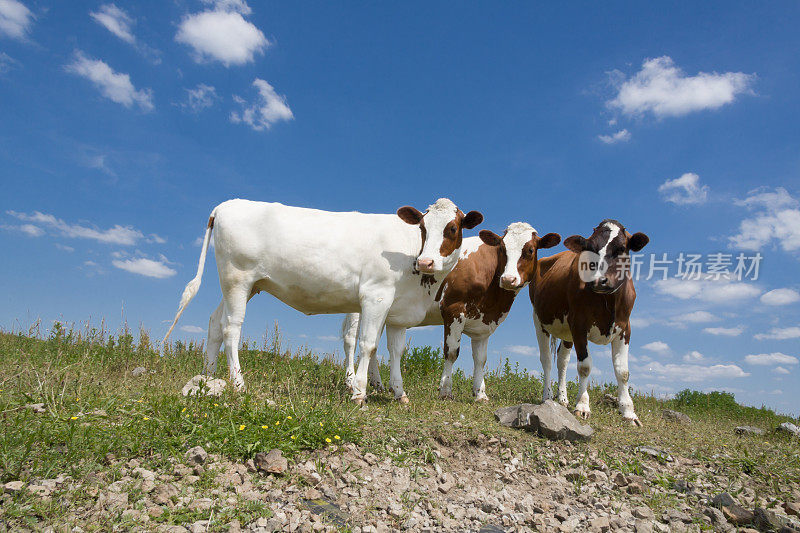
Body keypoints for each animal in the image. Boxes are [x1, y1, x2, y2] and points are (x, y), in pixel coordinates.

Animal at [162, 200, 482, 404]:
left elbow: (396, 351)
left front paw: (399, 393)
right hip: (237, 278)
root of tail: (226, 205)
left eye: (453, 228)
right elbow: (368, 345)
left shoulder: (398, 308)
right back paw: (238, 383)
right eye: (423, 227)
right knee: (231, 327)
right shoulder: (376, 295)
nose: (426, 261)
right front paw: (359, 393)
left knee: (215, 323)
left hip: (247, 285)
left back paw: (208, 377)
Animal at [346, 220, 564, 400]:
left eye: (530, 250)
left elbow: (481, 359)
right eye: (503, 248)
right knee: (351, 340)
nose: (508, 279)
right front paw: (445, 391)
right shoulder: (454, 309)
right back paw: (350, 382)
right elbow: (451, 352)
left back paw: (378, 384)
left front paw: (480, 394)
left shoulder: (484, 322)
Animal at [532, 219, 648, 424]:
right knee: (546, 360)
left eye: (621, 248)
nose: (598, 280)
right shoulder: (579, 325)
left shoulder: (625, 328)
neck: (609, 301)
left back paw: (562, 399)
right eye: (589, 248)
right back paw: (547, 396)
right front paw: (582, 405)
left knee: (562, 360)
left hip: (566, 332)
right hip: (539, 320)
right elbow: (585, 366)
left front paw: (628, 411)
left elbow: (623, 372)